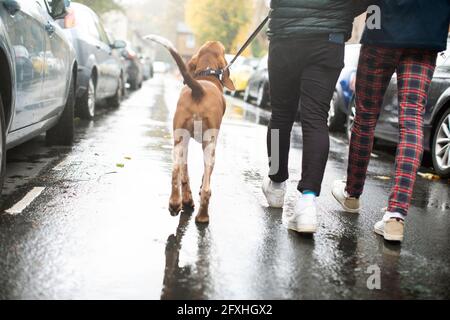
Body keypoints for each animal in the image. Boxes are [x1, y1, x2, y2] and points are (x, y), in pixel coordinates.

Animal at [144, 35, 236, 222]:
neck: (206, 77)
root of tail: (199, 90)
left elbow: (184, 174)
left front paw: (186, 201)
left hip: (179, 140)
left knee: (175, 171)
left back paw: (175, 203)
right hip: (209, 146)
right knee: (207, 188)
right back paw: (202, 217)